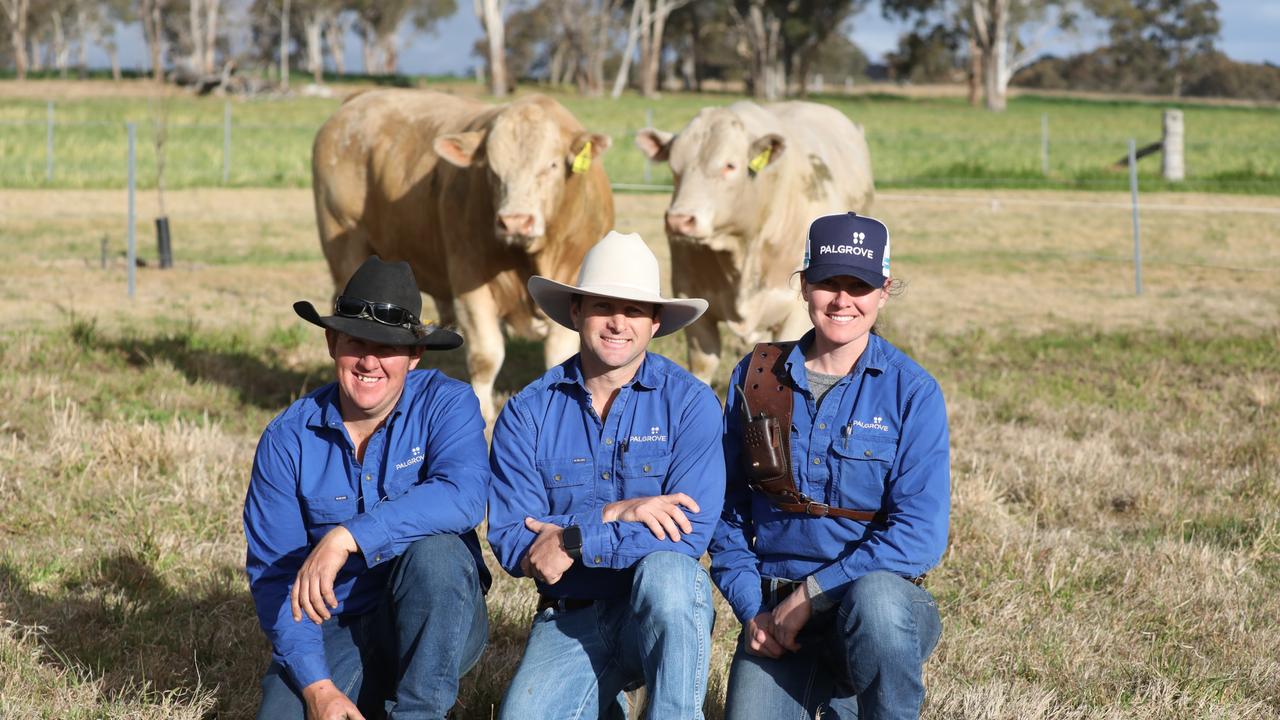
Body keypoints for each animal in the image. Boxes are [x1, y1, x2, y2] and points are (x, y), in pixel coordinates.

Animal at [308, 89, 609, 420]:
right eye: (492, 171)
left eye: (552, 165)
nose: (515, 221)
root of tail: (360, 98)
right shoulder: (470, 280)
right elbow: (485, 355)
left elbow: (559, 353)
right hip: (345, 246)